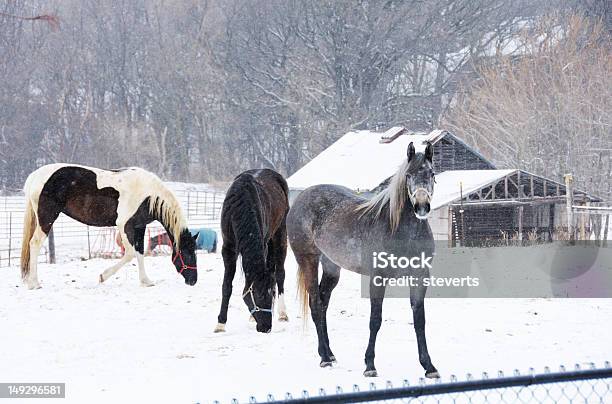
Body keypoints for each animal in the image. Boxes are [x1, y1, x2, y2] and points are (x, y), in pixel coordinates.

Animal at [20, 165, 197, 290]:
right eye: (188, 254)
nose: (193, 280)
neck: (147, 195)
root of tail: (34, 176)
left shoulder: (139, 227)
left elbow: (139, 253)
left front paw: (146, 281)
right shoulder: (125, 226)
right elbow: (130, 254)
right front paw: (103, 276)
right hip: (47, 219)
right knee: (34, 244)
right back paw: (34, 283)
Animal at [214, 169, 290, 332]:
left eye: (271, 294)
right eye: (258, 295)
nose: (266, 328)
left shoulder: (263, 243)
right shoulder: (228, 249)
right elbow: (226, 286)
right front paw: (220, 324)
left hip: (279, 235)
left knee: (280, 274)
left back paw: (282, 313)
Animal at [288, 142, 440, 378]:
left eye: (432, 174)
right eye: (408, 175)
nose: (422, 207)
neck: (400, 230)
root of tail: (300, 199)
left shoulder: (420, 277)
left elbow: (419, 320)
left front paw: (429, 366)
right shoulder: (378, 278)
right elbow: (375, 320)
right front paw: (369, 365)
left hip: (332, 268)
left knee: (323, 304)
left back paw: (329, 353)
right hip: (308, 261)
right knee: (315, 304)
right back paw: (324, 358)